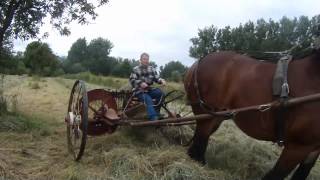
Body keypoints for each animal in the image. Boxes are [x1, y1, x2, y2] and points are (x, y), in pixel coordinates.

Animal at [184, 50, 320, 180]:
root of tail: (201, 60)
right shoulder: (298, 147)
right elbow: (275, 175)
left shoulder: (313, 149)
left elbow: (301, 174)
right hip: (206, 116)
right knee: (199, 147)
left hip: (217, 116)